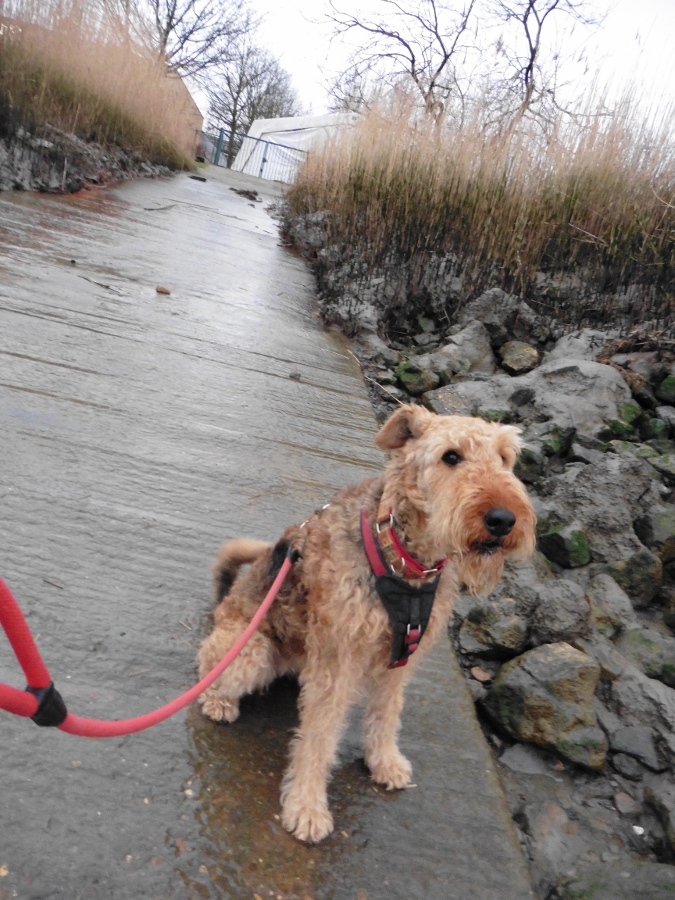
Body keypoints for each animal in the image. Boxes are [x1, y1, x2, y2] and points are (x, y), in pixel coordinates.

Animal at [196, 404, 536, 843]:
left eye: (505, 458)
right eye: (451, 456)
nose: (503, 519)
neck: (404, 561)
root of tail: (225, 602)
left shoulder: (401, 657)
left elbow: (387, 715)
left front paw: (384, 762)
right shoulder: (337, 664)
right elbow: (318, 739)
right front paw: (307, 808)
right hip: (250, 651)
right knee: (209, 663)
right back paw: (218, 699)